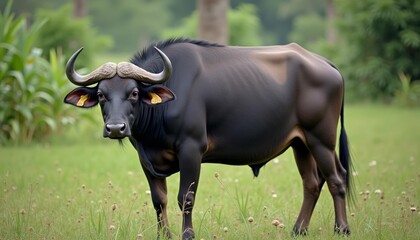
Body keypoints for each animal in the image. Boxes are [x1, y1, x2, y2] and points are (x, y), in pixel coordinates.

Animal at [65, 38, 354, 239]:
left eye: (134, 92)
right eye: (101, 94)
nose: (115, 128)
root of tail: (326, 64)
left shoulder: (191, 150)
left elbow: (186, 197)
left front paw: (188, 234)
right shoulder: (146, 159)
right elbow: (159, 200)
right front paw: (164, 235)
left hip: (321, 139)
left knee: (336, 178)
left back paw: (342, 228)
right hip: (300, 143)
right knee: (312, 183)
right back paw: (298, 229)